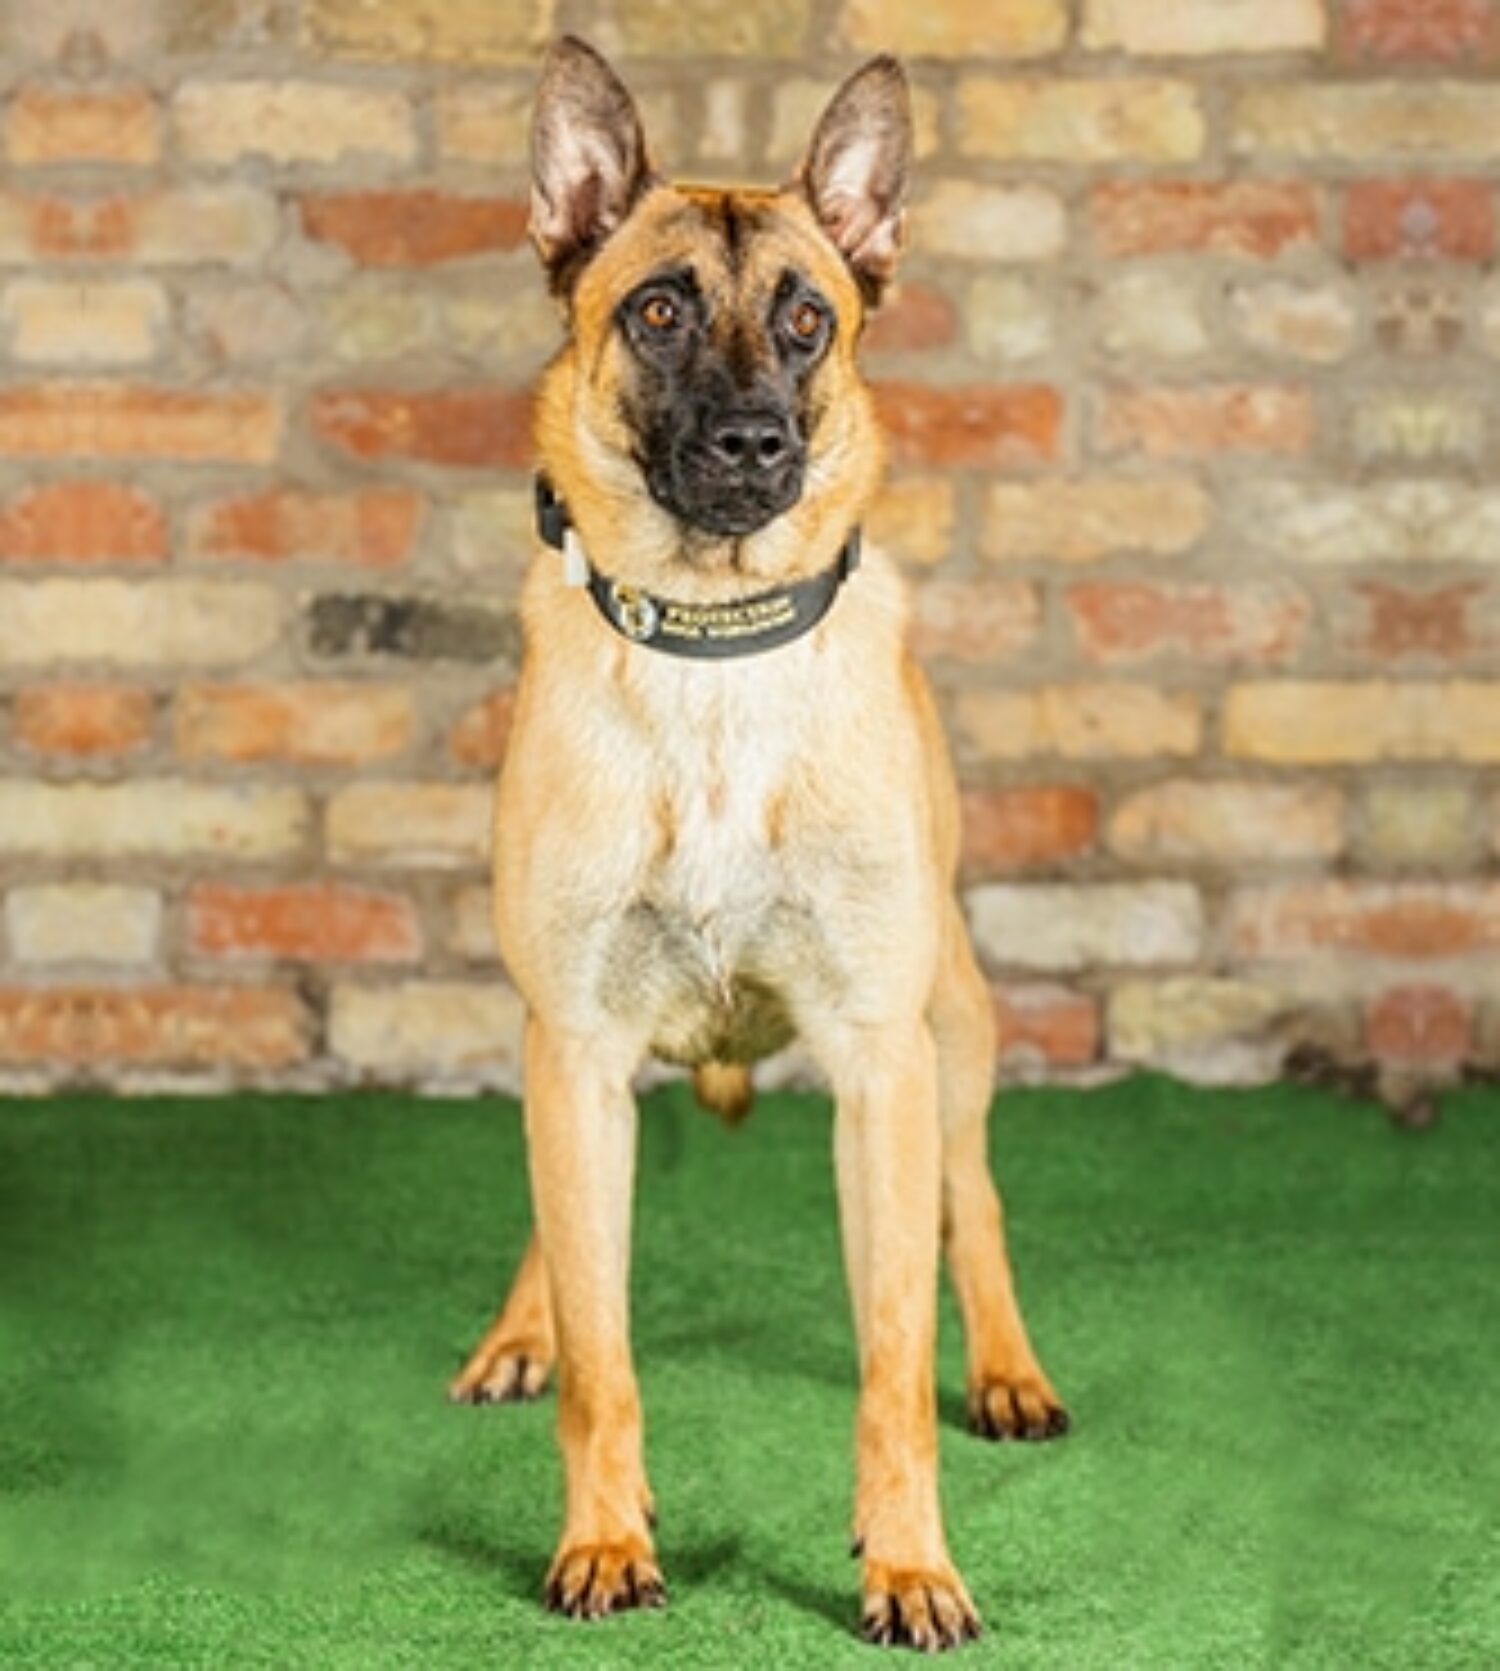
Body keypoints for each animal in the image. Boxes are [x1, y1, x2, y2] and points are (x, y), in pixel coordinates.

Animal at [449, 36, 1067, 1651]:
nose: (752, 442)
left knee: (973, 1204)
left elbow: (891, 1362)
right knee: (561, 1232)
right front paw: (605, 1534)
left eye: (807, 319)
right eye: (657, 310)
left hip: (951, 1032)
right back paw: (521, 1327)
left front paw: (909, 1561)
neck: (712, 653)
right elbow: (605, 1351)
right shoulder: (576, 1047)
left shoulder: (878, 1064)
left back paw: (1008, 1368)